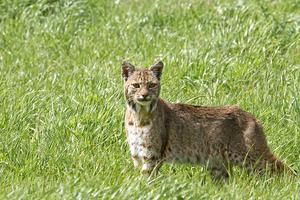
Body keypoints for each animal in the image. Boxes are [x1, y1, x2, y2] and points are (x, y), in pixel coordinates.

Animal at [121, 60, 290, 177]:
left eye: (151, 85)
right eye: (136, 85)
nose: (144, 95)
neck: (139, 114)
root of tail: (253, 117)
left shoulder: (152, 155)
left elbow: (147, 178)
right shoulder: (137, 155)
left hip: (250, 155)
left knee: (281, 169)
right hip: (219, 165)